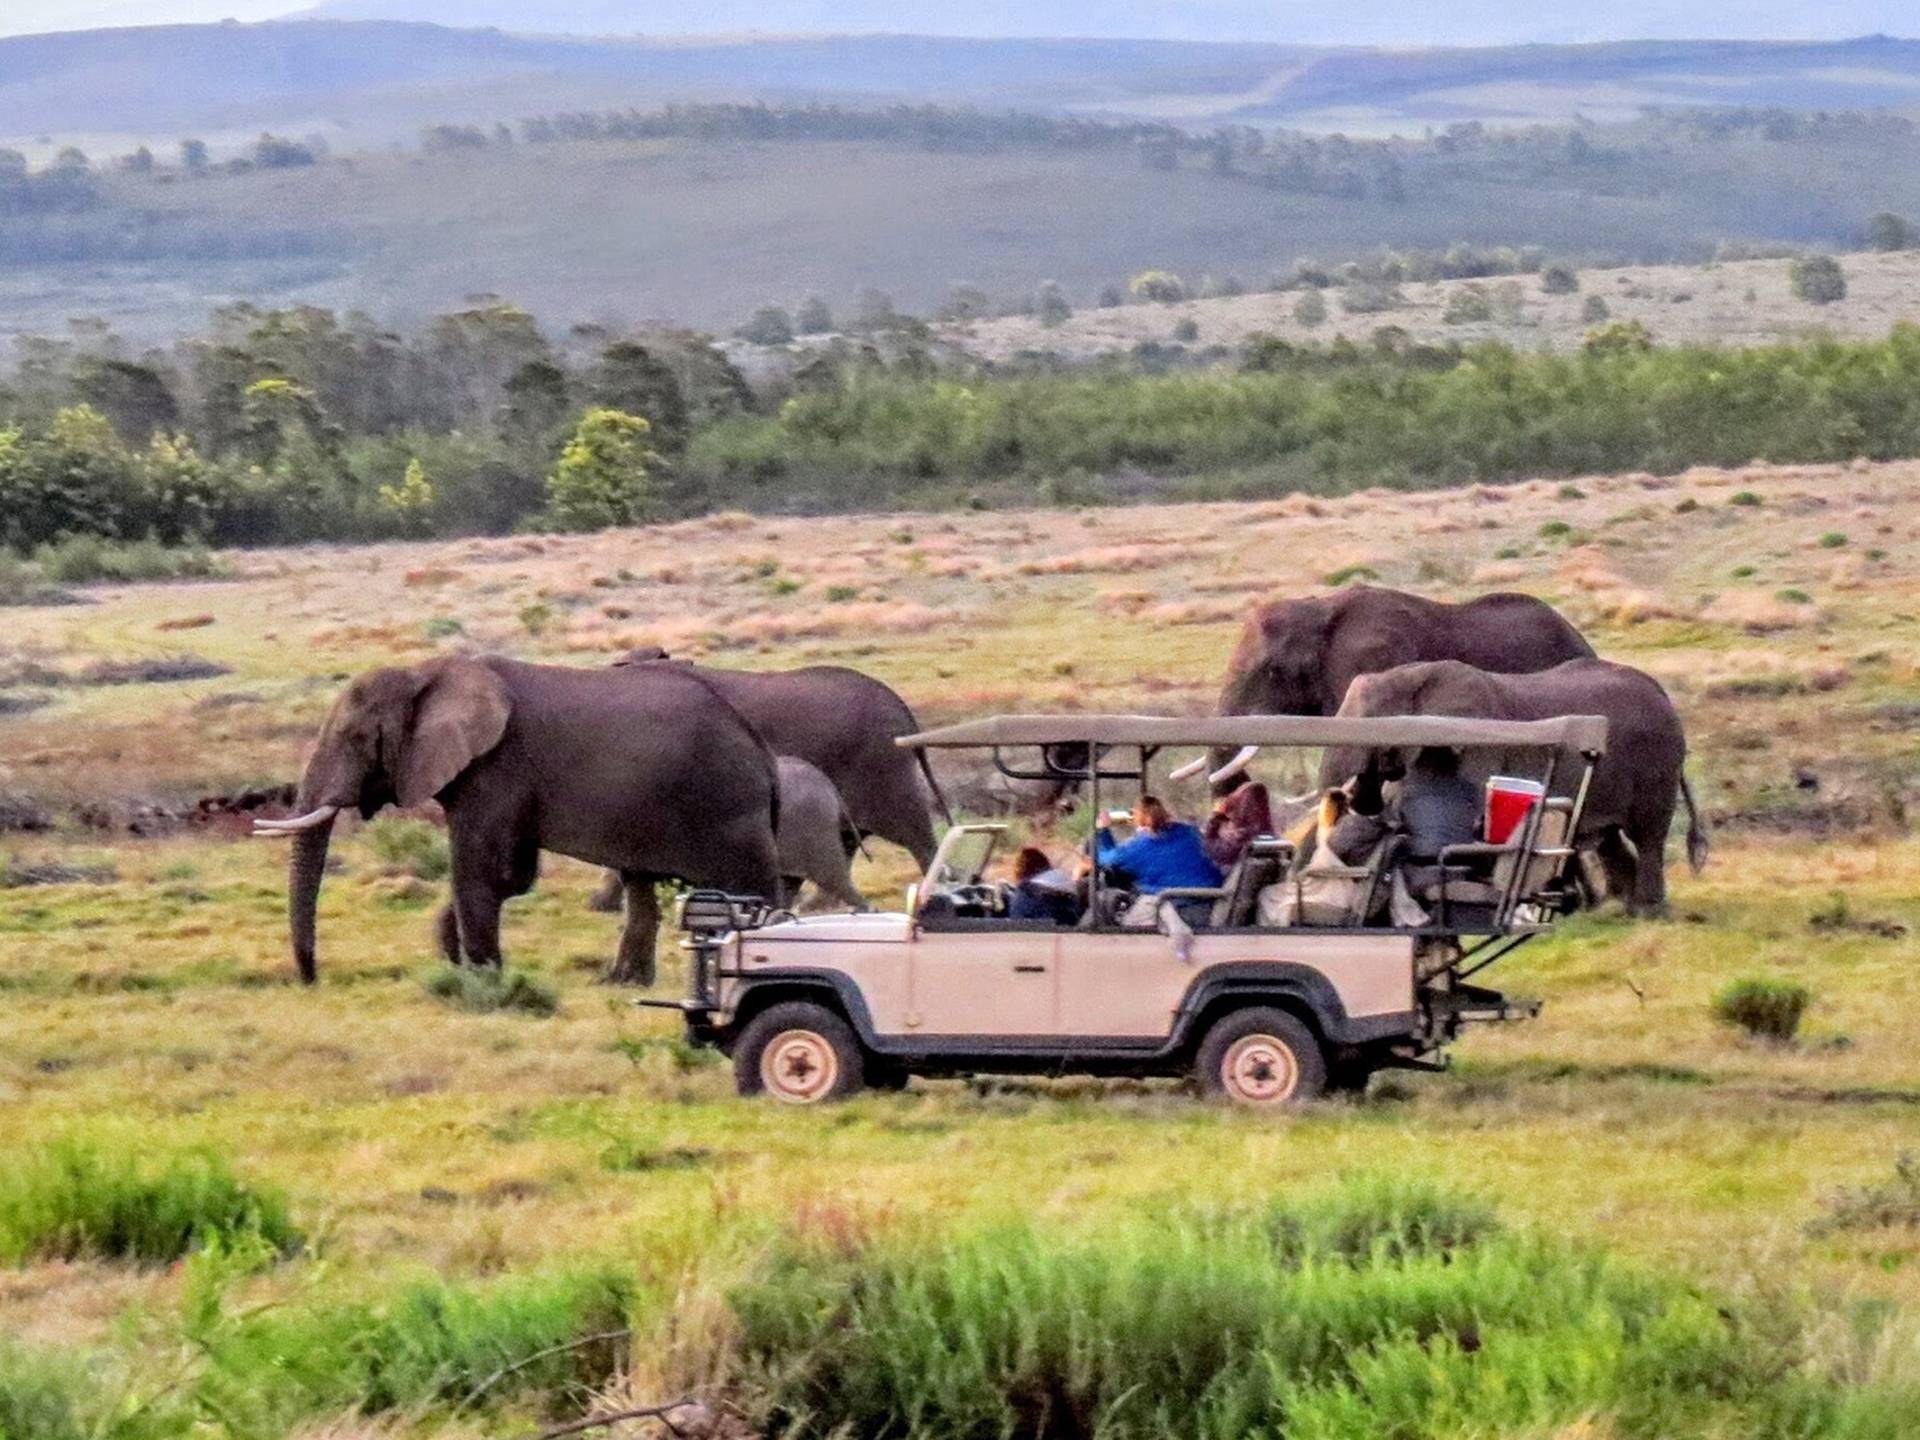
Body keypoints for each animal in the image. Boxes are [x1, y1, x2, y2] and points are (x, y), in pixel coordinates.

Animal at [259, 656, 783, 990]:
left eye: (355, 738)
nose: (311, 980)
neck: (426, 672)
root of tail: (763, 756)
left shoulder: (495, 768)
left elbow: (480, 871)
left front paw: (482, 979)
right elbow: (510, 878)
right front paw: (457, 960)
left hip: (729, 812)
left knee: (755, 890)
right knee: (640, 888)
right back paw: (621, 984)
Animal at [1328, 660, 1704, 917]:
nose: (1353, 789)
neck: (1409, 675)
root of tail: (1661, 690)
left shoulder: (1475, 746)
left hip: (1657, 761)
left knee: (1648, 834)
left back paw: (1646, 912)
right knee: (1609, 840)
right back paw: (1613, 911)